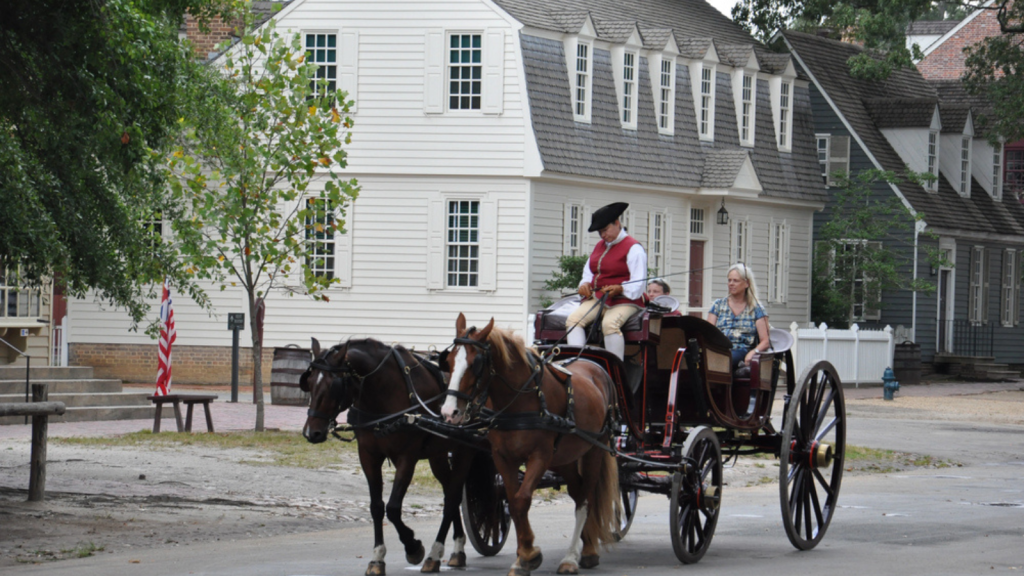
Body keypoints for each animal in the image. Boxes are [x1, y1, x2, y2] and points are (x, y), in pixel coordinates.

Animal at [299, 336, 475, 573]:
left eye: (333, 385)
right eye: (308, 382)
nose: (312, 433)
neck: (385, 394)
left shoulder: (407, 457)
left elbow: (393, 508)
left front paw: (413, 547)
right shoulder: (368, 456)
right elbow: (376, 507)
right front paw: (377, 558)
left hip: (464, 451)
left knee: (453, 497)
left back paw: (435, 554)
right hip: (437, 456)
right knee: (450, 493)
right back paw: (456, 549)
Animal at [438, 313, 618, 573]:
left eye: (475, 363)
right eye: (449, 361)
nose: (449, 412)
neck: (520, 401)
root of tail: (597, 369)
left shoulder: (540, 456)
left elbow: (522, 500)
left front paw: (529, 555)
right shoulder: (503, 457)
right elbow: (513, 502)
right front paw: (524, 554)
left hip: (594, 449)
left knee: (585, 499)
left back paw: (573, 557)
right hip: (565, 458)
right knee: (577, 492)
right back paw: (587, 548)